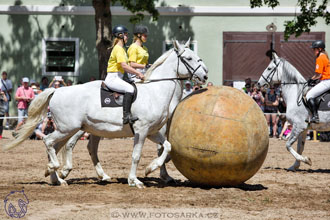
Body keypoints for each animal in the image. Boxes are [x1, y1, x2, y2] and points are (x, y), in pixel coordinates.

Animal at [3, 40, 208, 188]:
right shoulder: (141, 131)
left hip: (72, 129)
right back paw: (57, 169)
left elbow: (167, 147)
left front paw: (151, 169)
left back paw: (57, 177)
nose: (205, 76)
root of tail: (57, 91)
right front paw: (135, 180)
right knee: (49, 142)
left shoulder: (152, 132)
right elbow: (137, 155)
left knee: (59, 146)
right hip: (68, 128)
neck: (155, 91)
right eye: (189, 58)